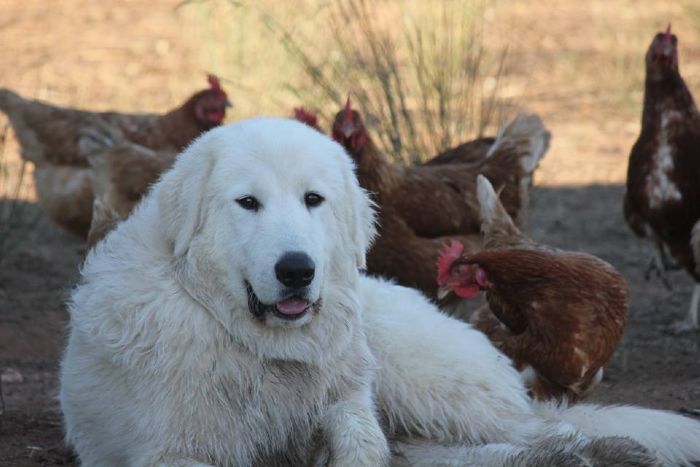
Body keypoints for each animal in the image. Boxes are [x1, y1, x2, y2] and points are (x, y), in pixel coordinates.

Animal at [61, 117, 700, 466]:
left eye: (313, 199)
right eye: (247, 202)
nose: (297, 270)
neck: (257, 347)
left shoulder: (349, 408)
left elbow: (361, 445)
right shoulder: (171, 452)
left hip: (419, 373)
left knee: (546, 429)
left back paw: (601, 451)